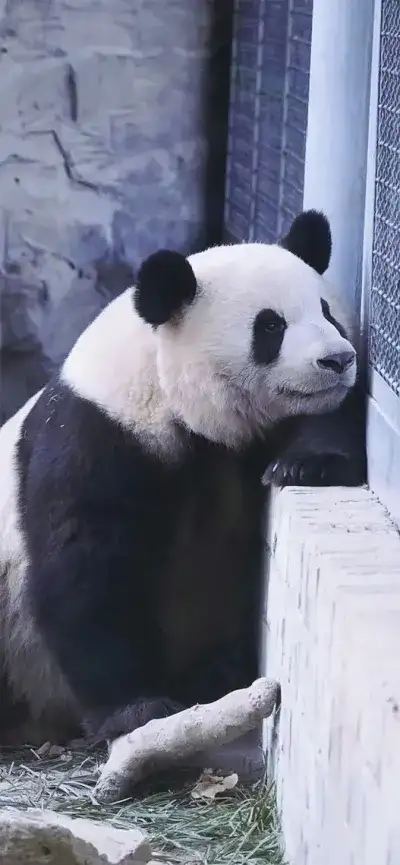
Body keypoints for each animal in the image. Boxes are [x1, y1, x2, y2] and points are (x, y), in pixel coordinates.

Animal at [0, 210, 365, 747]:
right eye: (270, 325)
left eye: (327, 311)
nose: (337, 360)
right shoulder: (99, 434)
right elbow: (85, 566)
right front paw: (136, 708)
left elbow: (325, 420)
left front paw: (305, 464)